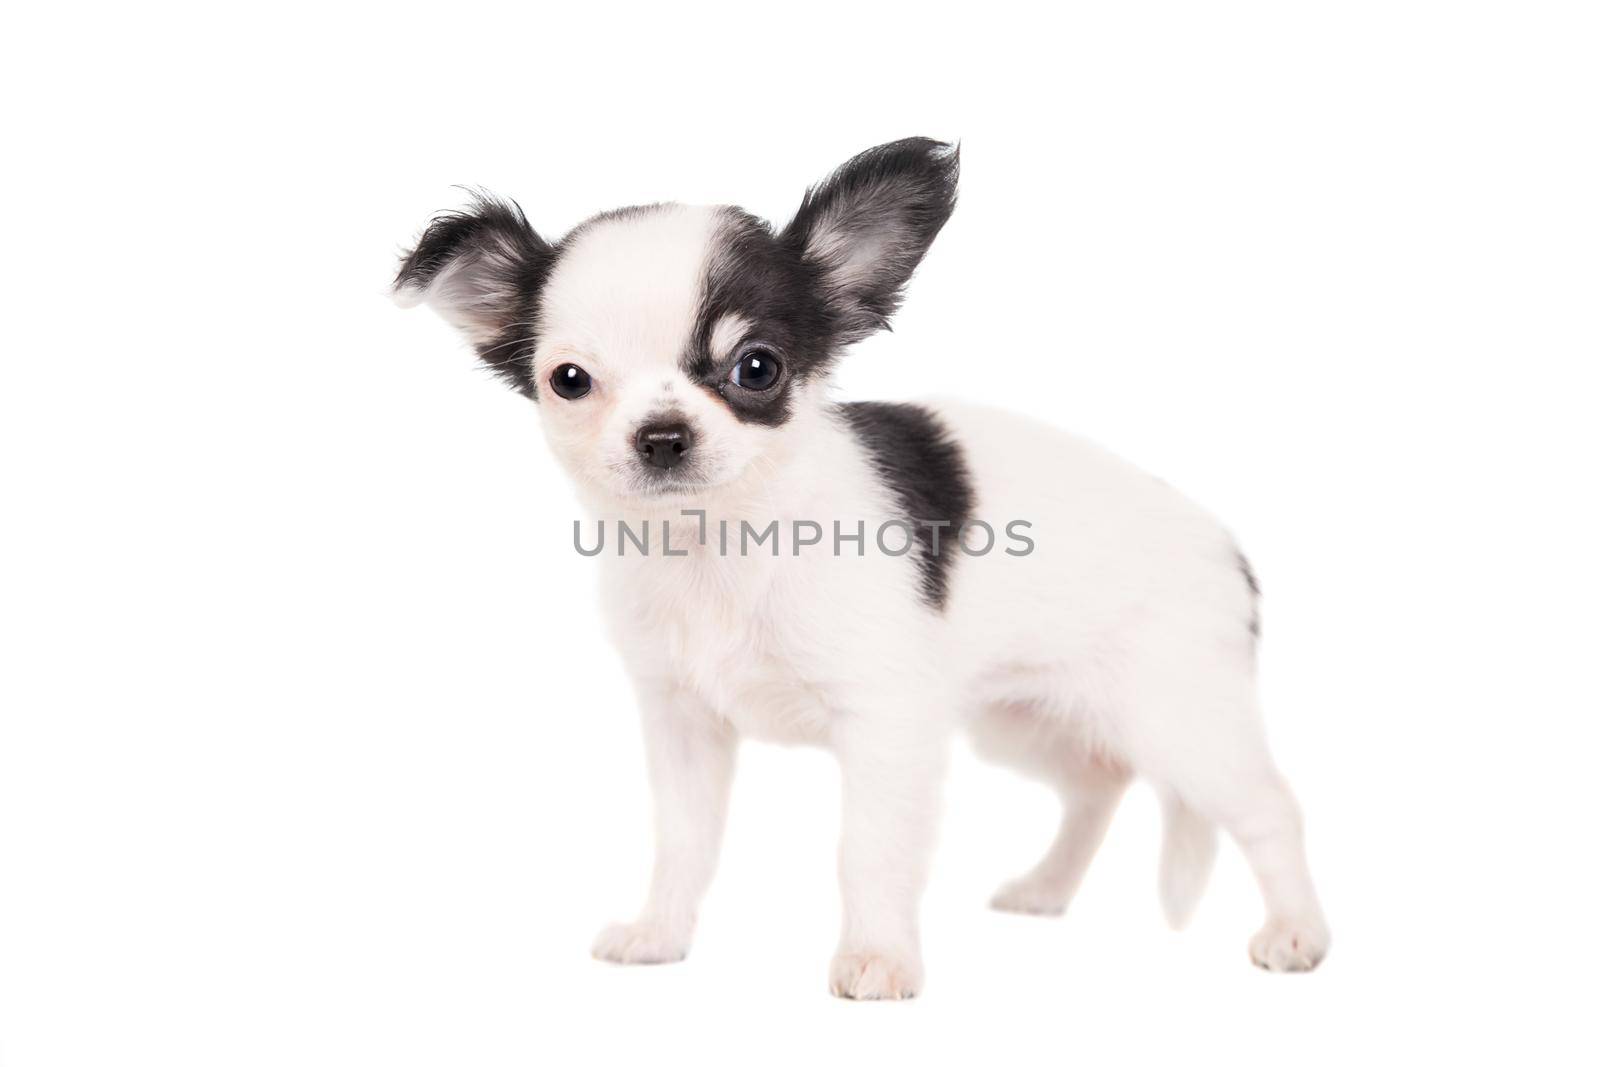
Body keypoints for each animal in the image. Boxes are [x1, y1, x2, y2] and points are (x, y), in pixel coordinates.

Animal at [396, 139, 1324, 1004]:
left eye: (757, 367)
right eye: (570, 381)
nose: (662, 435)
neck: (721, 545)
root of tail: (1229, 552)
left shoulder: (886, 725)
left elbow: (868, 850)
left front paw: (878, 958)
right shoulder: (683, 722)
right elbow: (686, 841)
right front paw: (660, 933)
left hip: (1182, 718)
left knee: (1268, 806)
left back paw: (1297, 932)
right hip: (1026, 719)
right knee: (1099, 782)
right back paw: (1046, 887)